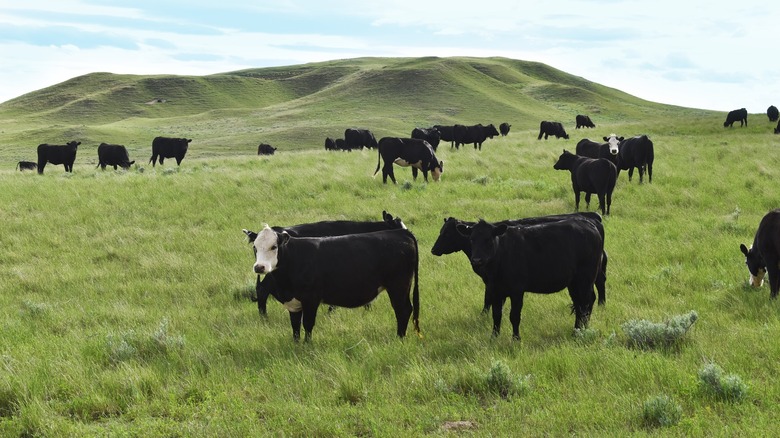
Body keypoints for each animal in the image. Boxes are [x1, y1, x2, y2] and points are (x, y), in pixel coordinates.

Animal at [250, 226, 420, 342]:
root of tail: (400, 232)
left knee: (403, 310)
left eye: (274, 246)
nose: (259, 267)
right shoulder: (294, 302)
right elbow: (295, 325)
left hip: (398, 286)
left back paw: (400, 338)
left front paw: (307, 345)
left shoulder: (311, 299)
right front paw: (296, 344)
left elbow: (308, 324)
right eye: (255, 247)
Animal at [430, 214, 608, 314]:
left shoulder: (492, 282)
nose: (433, 249)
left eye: (446, 233)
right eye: (441, 231)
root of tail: (592, 220)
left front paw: (483, 315)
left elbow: (488, 299)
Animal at [454, 218, 608, 338]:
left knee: (585, 303)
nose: (477, 260)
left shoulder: (517, 290)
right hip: (574, 282)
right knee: (581, 304)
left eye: (488, 240)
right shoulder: (495, 289)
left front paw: (516, 339)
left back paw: (579, 332)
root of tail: (589, 224)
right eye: (472, 239)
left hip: (586, 278)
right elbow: (496, 315)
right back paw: (579, 330)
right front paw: (494, 337)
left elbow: (514, 316)